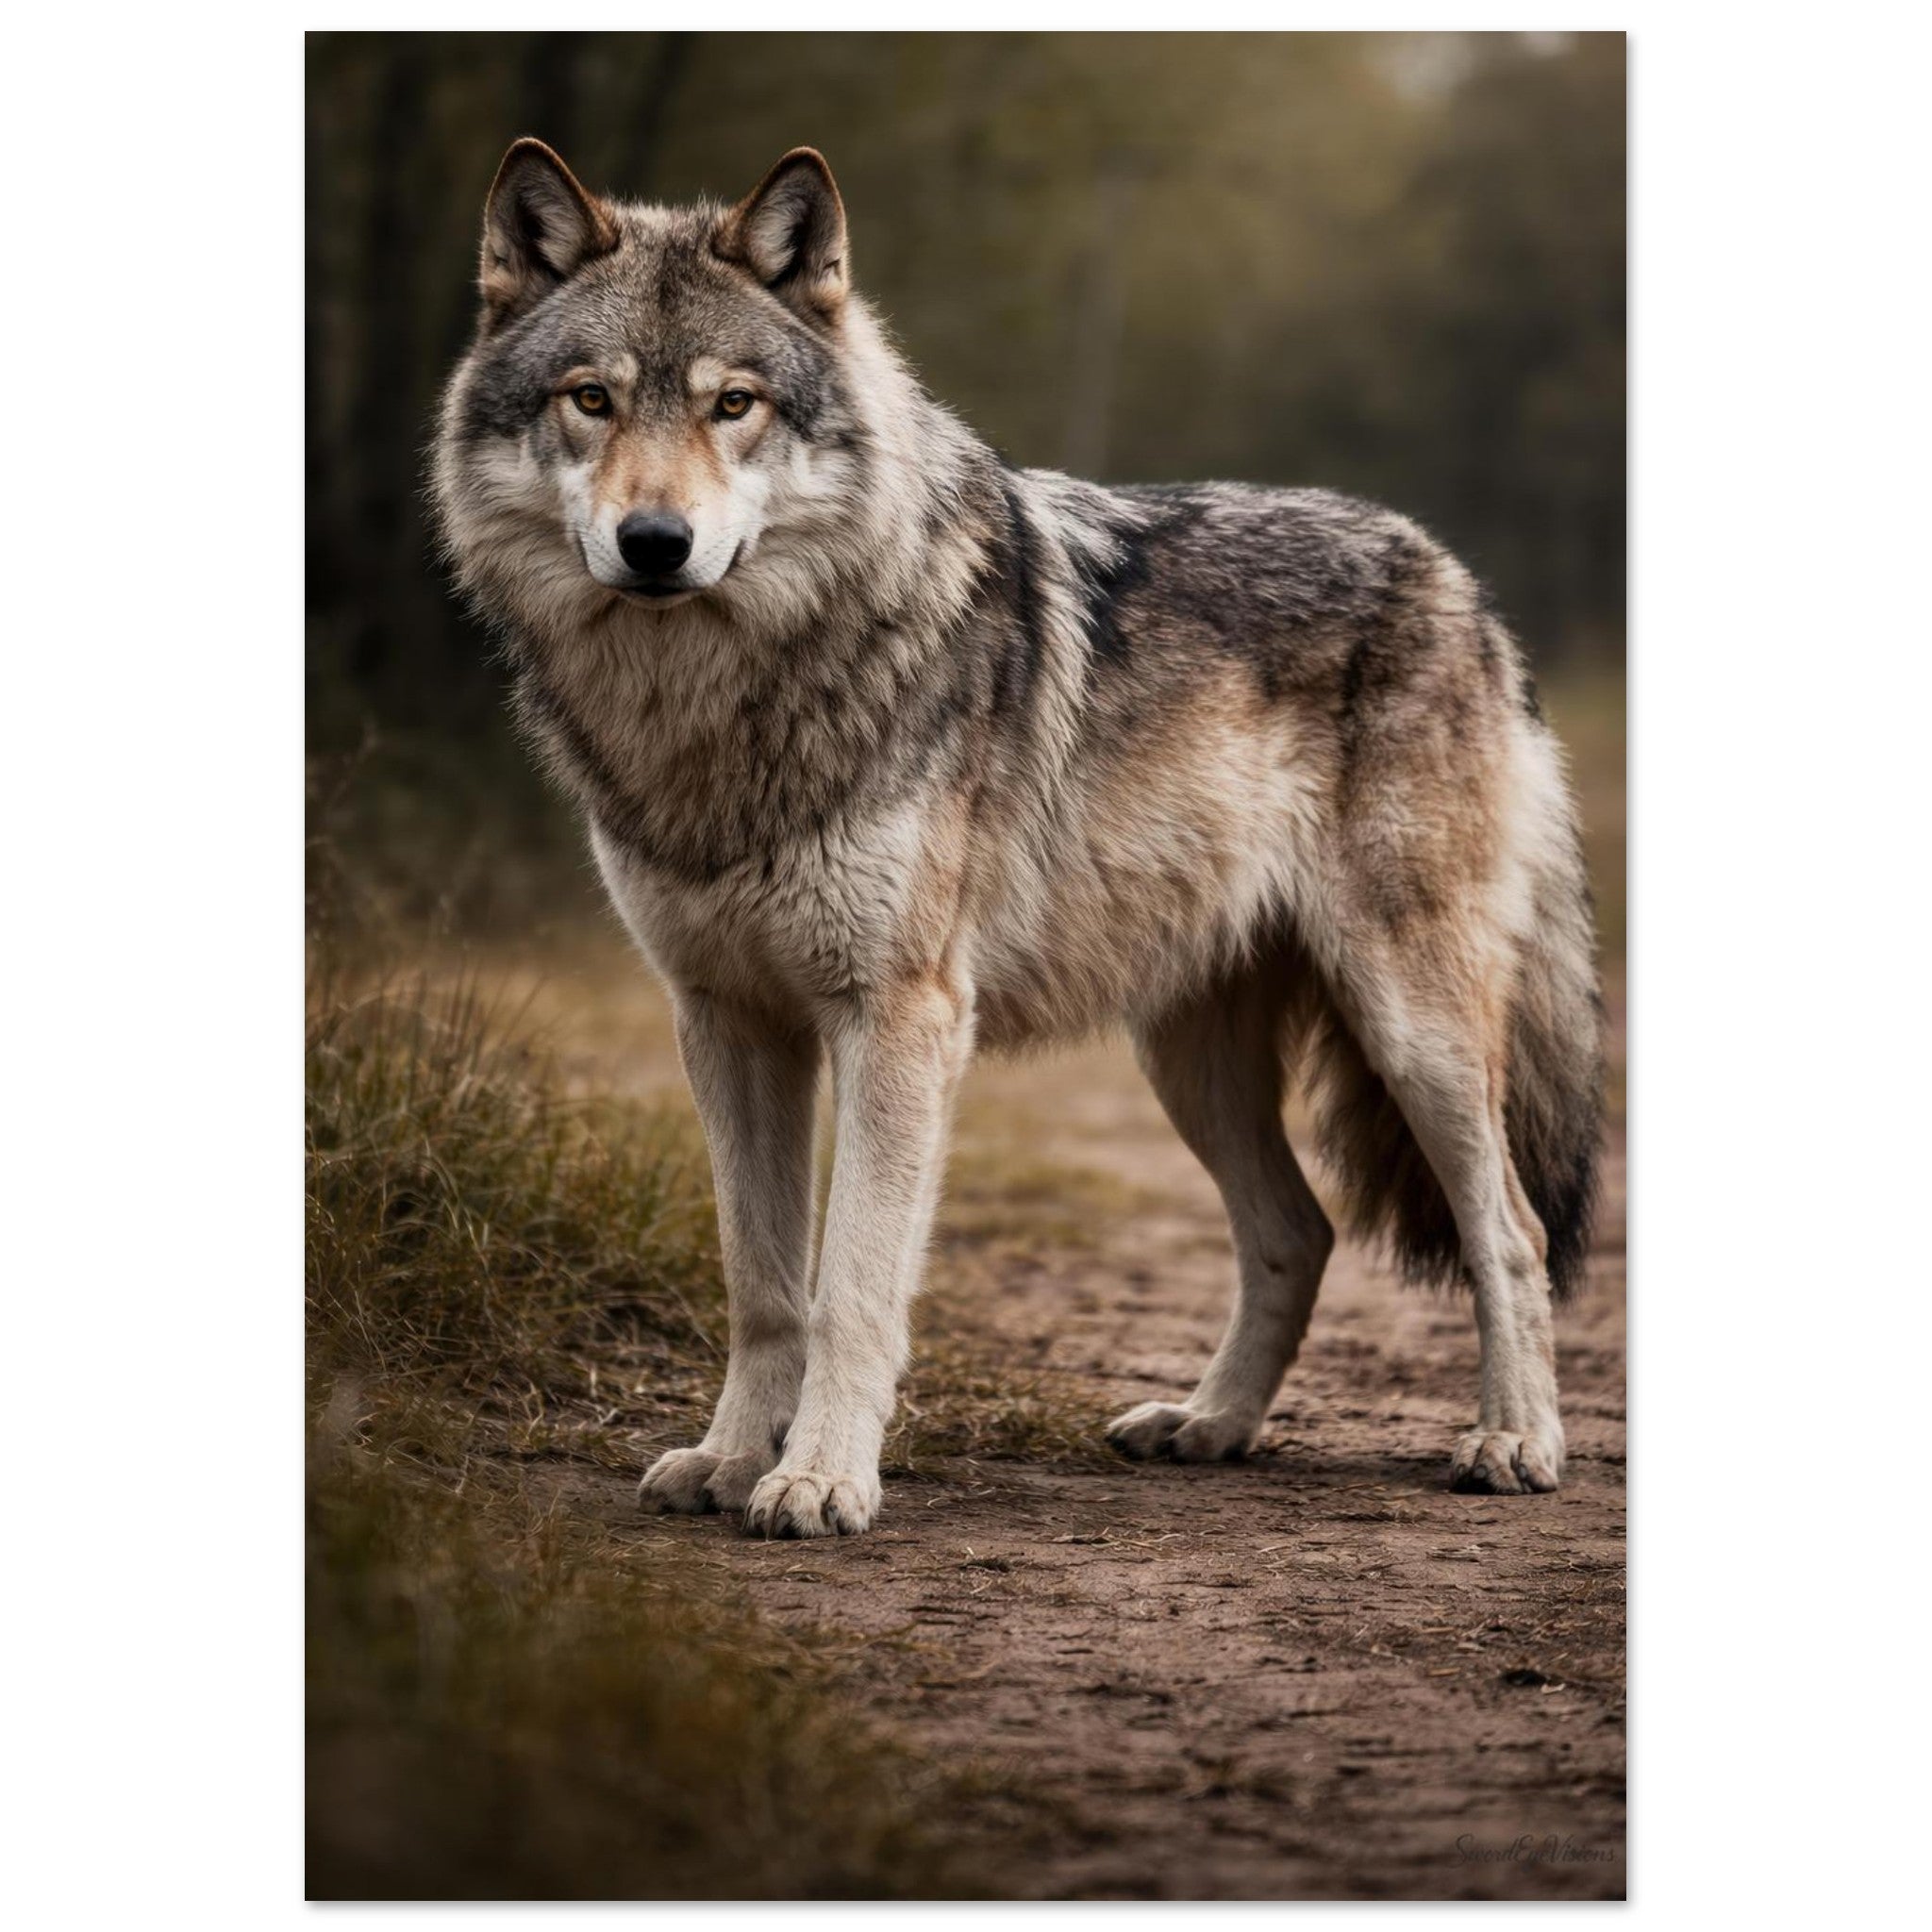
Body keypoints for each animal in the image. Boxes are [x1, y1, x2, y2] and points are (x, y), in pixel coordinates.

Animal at [432, 140, 1604, 1539]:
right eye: (592, 400)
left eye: (734, 406)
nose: (655, 544)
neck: (723, 706)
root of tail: (1458, 580)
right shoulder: (724, 1020)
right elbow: (762, 1285)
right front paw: (725, 1460)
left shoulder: (900, 1019)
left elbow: (850, 1287)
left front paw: (819, 1479)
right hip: (1188, 1059)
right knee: (1299, 1232)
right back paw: (1208, 1425)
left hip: (1410, 1028)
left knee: (1511, 1232)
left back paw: (1514, 1441)